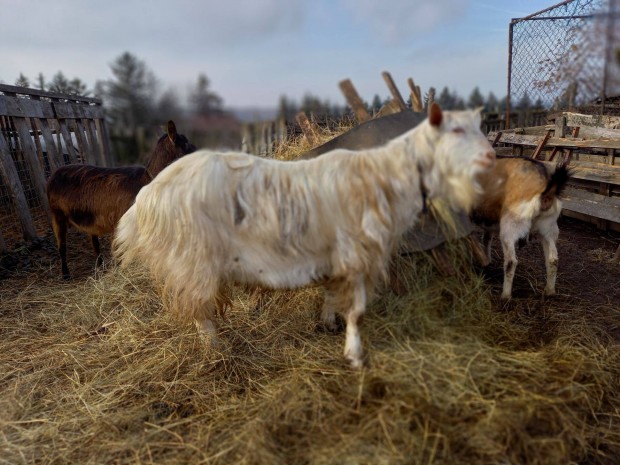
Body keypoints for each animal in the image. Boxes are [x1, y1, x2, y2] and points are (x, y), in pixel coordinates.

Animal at [47, 120, 195, 280]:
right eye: (187, 147)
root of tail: (54, 174)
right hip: (57, 215)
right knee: (62, 245)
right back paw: (66, 274)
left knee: (94, 242)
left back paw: (100, 267)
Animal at [114, 103, 496, 368]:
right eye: (456, 131)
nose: (492, 156)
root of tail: (147, 198)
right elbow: (354, 307)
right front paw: (353, 351)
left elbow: (332, 292)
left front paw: (327, 323)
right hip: (192, 260)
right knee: (199, 311)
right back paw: (216, 349)